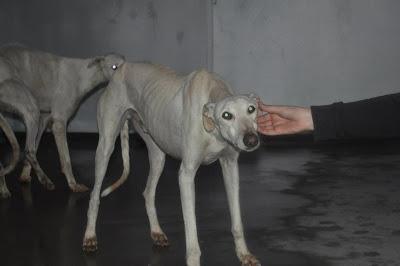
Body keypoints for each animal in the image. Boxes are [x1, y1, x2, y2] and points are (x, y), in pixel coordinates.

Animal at [0, 44, 124, 192]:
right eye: (114, 67)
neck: (84, 74)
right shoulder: (59, 123)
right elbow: (66, 159)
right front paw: (73, 184)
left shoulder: (44, 119)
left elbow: (36, 147)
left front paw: (24, 176)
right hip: (30, 109)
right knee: (29, 151)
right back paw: (44, 180)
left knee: (29, 150)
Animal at [82, 62, 260, 266]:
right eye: (226, 115)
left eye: (251, 109)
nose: (251, 140)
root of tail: (121, 68)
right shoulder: (186, 175)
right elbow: (192, 234)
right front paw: (194, 260)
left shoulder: (230, 166)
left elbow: (237, 221)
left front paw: (244, 254)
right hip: (106, 147)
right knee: (95, 195)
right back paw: (89, 236)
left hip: (158, 154)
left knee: (148, 192)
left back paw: (156, 232)